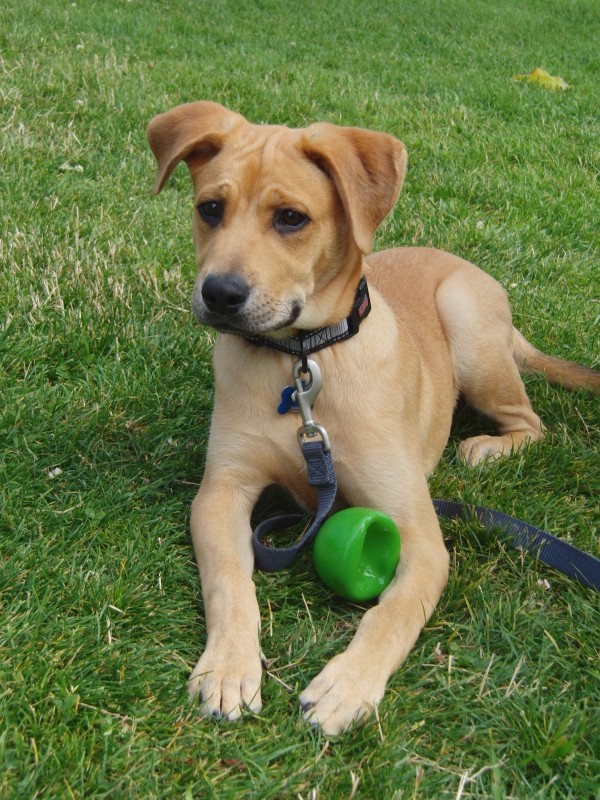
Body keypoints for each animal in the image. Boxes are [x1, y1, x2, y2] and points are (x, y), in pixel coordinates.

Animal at [146, 103, 600, 736]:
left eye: (291, 218)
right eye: (210, 208)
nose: (220, 294)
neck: (301, 362)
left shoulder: (419, 534)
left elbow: (392, 612)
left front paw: (348, 684)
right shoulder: (222, 489)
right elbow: (230, 580)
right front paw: (230, 667)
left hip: (470, 330)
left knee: (532, 420)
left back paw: (489, 448)